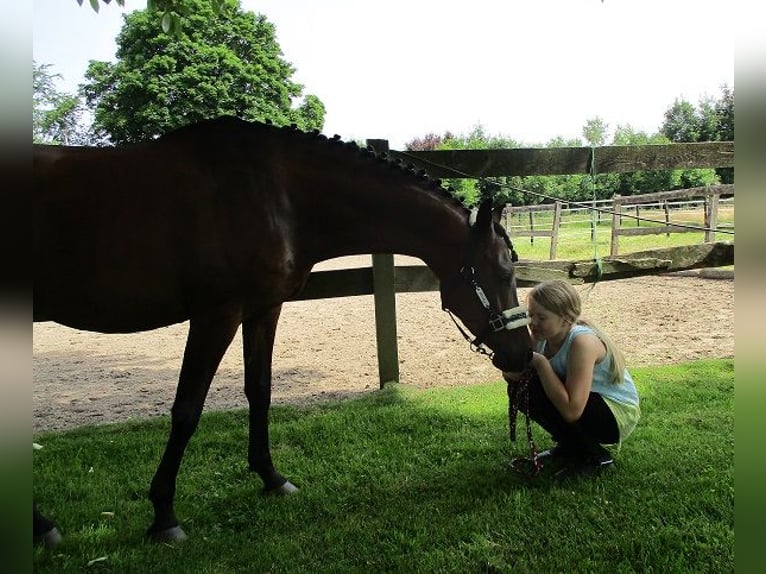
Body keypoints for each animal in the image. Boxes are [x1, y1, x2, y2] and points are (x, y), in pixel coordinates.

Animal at [33, 116, 532, 543]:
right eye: (502, 272)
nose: (524, 355)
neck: (275, 194)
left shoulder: (263, 310)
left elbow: (260, 391)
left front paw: (271, 478)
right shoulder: (216, 314)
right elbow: (187, 410)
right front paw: (164, 516)